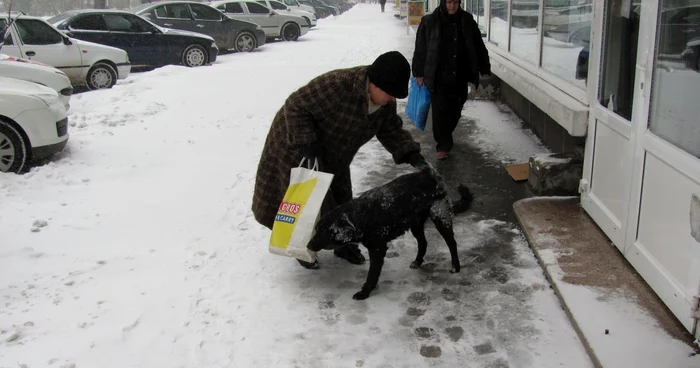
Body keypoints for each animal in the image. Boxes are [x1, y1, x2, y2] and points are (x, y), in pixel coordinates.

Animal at [308, 170, 474, 300]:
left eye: (323, 231)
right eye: (317, 229)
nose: (308, 245)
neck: (361, 216)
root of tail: (433, 176)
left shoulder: (378, 249)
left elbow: (372, 274)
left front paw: (364, 292)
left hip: (440, 218)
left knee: (452, 243)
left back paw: (455, 266)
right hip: (415, 224)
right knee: (423, 243)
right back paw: (418, 261)